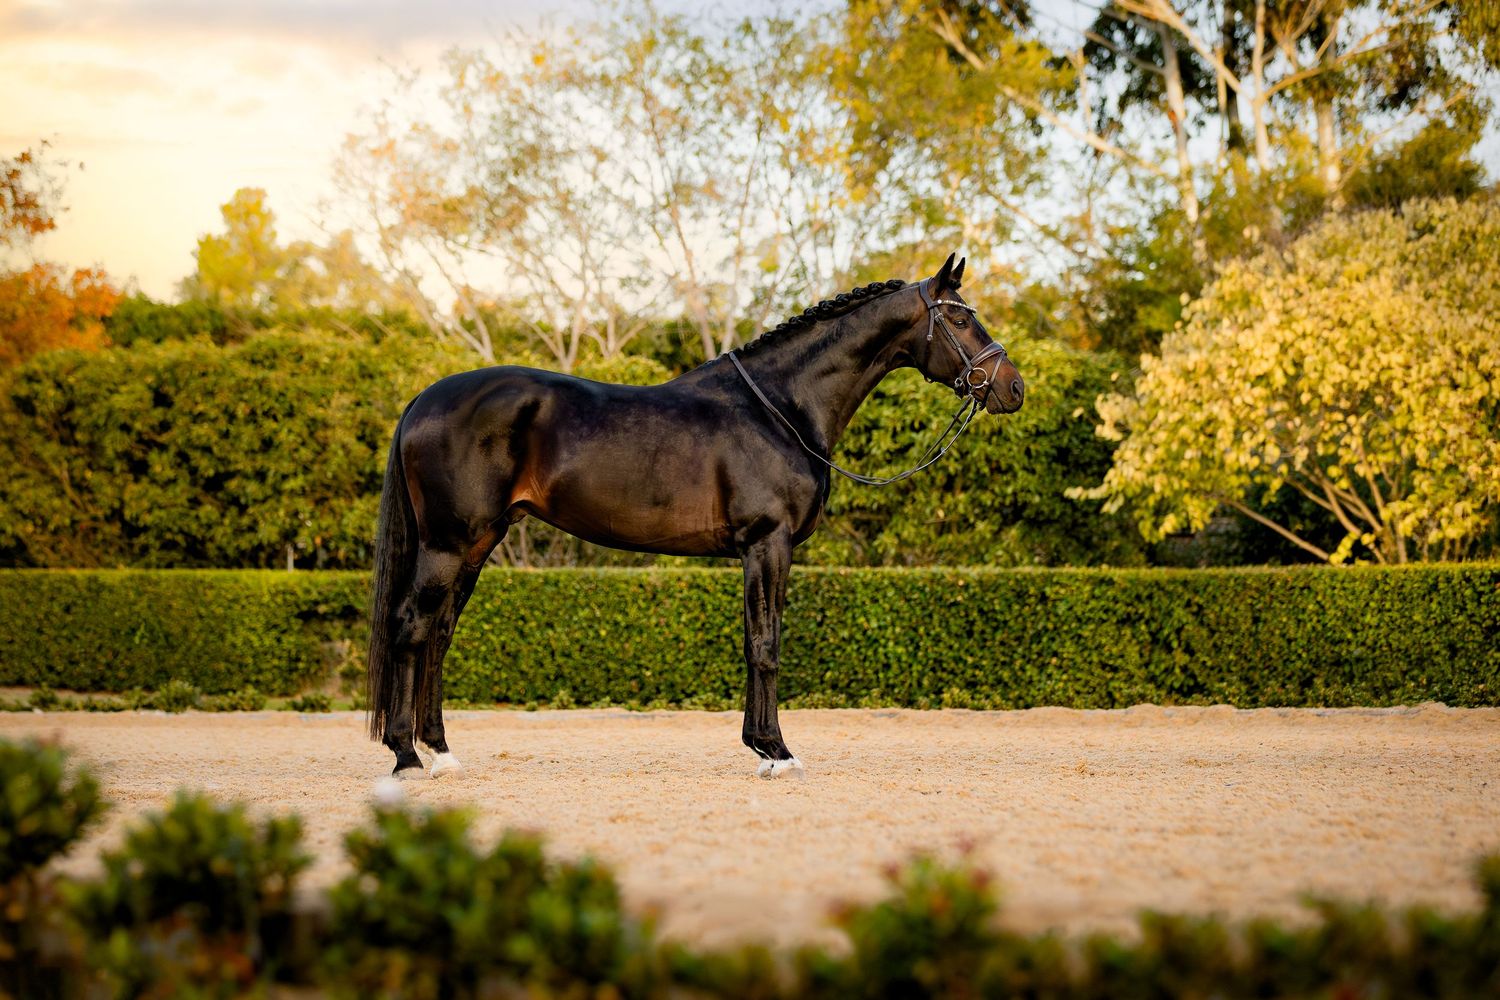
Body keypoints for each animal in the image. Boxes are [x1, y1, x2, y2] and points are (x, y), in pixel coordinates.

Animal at [367, 253, 1024, 780]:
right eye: (960, 319)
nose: (1012, 388)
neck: (781, 407)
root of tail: (423, 399)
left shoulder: (761, 550)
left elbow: (755, 640)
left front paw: (760, 747)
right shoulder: (767, 543)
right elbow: (765, 644)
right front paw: (778, 753)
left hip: (479, 543)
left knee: (438, 634)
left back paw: (441, 752)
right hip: (448, 543)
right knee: (410, 627)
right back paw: (406, 756)